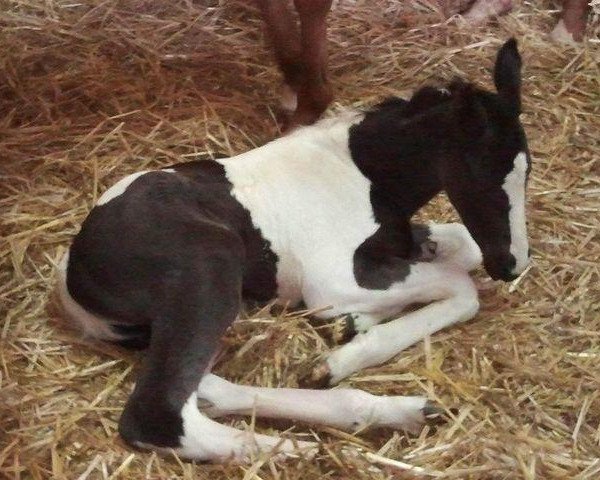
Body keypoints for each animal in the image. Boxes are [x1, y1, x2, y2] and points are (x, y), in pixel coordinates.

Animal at [58, 40, 528, 462]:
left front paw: (354, 324)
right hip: (210, 268)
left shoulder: (393, 241)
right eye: (486, 175)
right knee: (159, 412)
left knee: (206, 388)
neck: (362, 174)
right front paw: (345, 348)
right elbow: (462, 287)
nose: (512, 265)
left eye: (528, 169)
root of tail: (73, 277)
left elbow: (463, 247)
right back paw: (308, 448)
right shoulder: (331, 282)